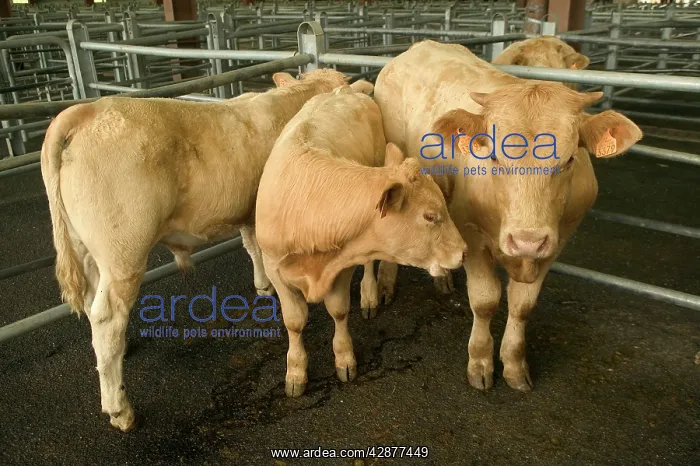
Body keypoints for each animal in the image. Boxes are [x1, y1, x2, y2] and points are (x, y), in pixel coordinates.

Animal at [40, 68, 366, 431]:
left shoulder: (248, 212)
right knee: (107, 316)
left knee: (92, 304)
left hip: (86, 250)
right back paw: (120, 409)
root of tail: (85, 111)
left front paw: (263, 286)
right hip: (123, 252)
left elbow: (252, 247)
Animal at [255, 82, 467, 398]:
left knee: (369, 266)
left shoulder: (345, 262)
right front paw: (295, 372)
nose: (464, 252)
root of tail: (345, 89)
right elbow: (294, 322)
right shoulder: (274, 269)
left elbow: (339, 310)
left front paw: (345, 358)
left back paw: (369, 295)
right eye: (430, 216)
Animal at [372, 40, 642, 391]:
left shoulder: (555, 244)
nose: (527, 241)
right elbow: (485, 301)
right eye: (493, 156)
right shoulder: (470, 234)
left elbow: (522, 305)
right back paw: (386, 284)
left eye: (569, 159)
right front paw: (480, 361)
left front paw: (514, 363)